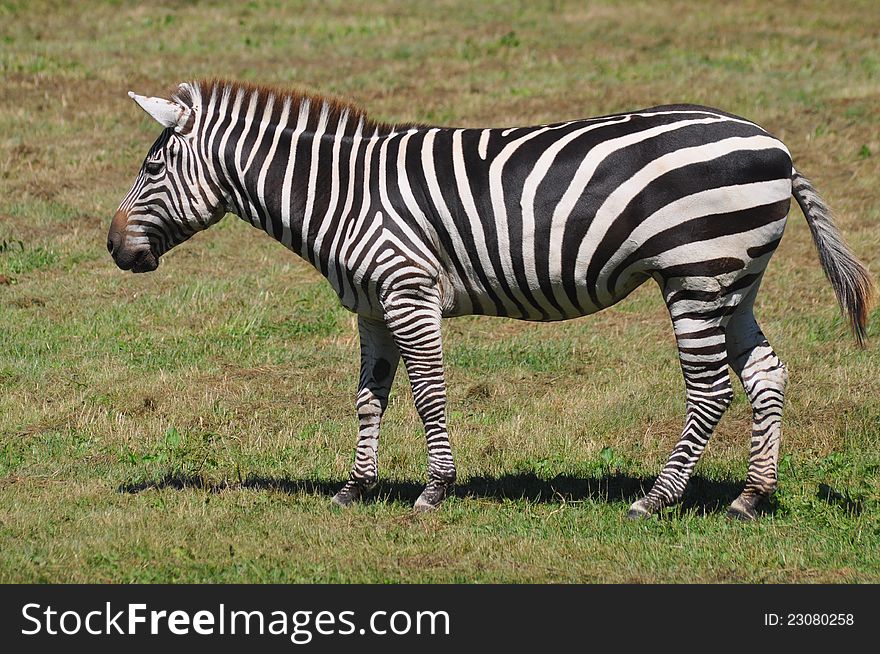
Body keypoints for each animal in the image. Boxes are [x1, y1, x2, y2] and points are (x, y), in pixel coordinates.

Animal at [110, 79, 872, 524]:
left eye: (151, 166)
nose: (113, 247)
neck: (345, 195)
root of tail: (777, 147)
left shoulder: (408, 289)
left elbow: (427, 393)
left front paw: (433, 490)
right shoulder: (372, 305)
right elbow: (369, 399)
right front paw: (355, 489)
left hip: (696, 272)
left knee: (711, 388)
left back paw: (655, 499)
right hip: (733, 279)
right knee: (766, 373)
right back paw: (750, 497)